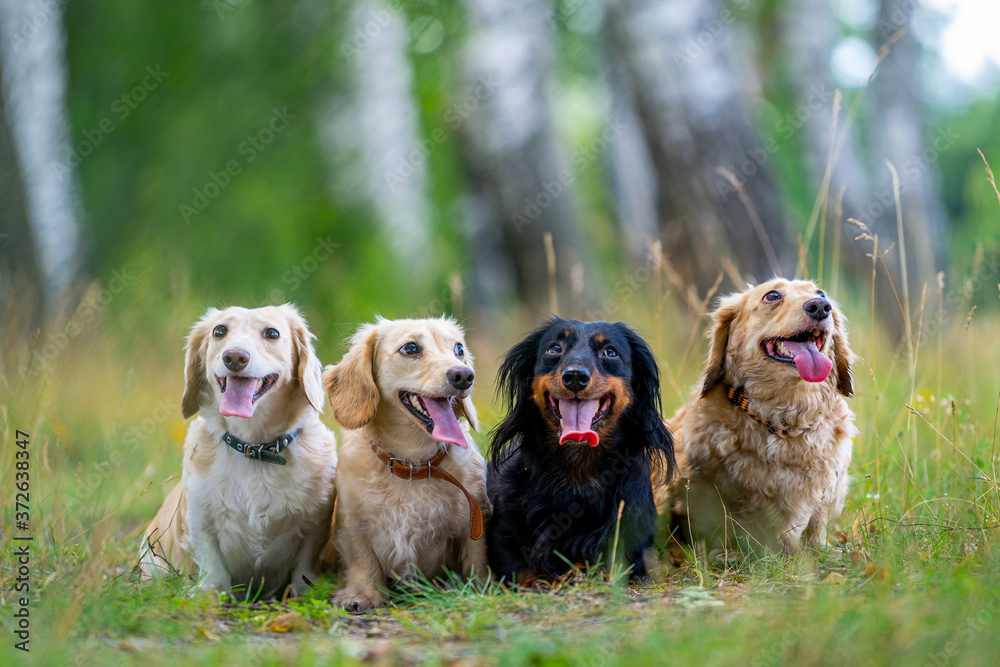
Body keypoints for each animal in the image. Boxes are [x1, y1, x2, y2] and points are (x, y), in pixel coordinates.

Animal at [139, 306, 338, 596]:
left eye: (272, 333)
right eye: (219, 330)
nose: (234, 357)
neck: (253, 449)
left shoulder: (315, 522)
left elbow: (304, 567)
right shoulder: (199, 520)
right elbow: (213, 566)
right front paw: (211, 594)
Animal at [322, 318, 490, 612]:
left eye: (459, 349)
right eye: (410, 348)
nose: (464, 376)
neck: (413, 464)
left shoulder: (473, 518)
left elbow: (475, 559)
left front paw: (478, 590)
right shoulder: (353, 522)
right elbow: (364, 560)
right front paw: (362, 595)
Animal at [484, 318, 672, 584]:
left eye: (610, 352)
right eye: (554, 348)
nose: (574, 376)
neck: (577, 473)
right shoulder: (503, 540)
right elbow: (521, 567)